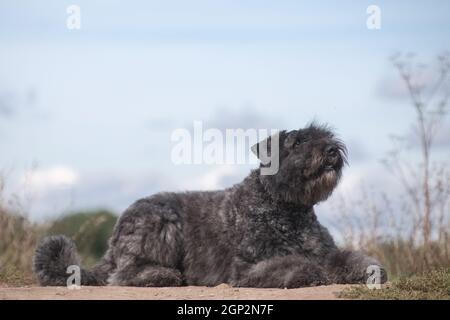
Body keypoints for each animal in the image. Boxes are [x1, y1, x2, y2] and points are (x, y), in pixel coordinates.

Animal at [34, 124, 386, 288]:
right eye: (297, 142)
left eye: (324, 135)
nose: (331, 150)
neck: (288, 208)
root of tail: (116, 232)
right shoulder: (248, 267)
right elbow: (291, 263)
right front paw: (307, 273)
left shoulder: (325, 251)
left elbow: (347, 258)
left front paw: (369, 269)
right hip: (161, 225)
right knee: (121, 275)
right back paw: (162, 276)